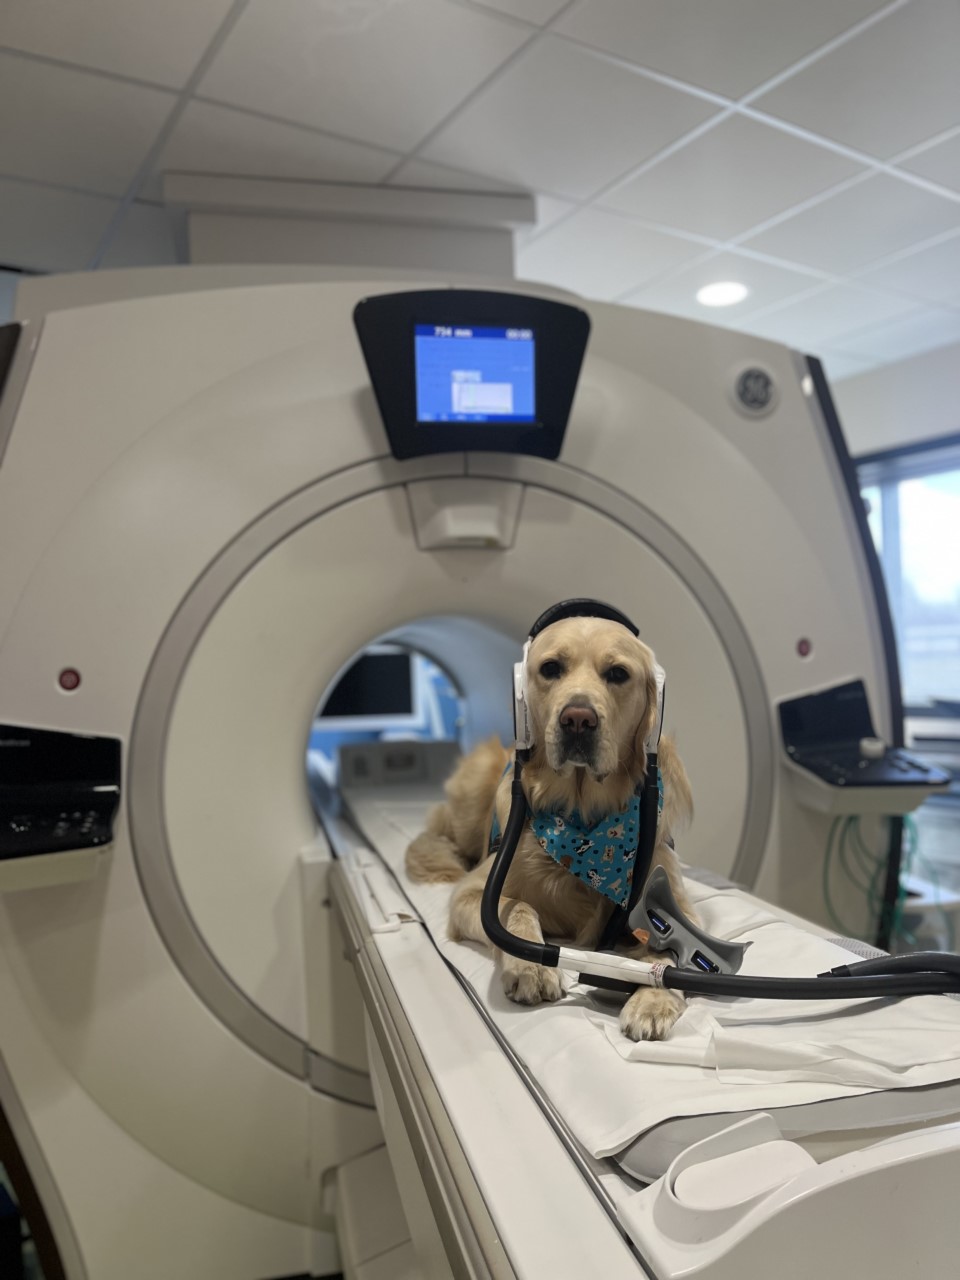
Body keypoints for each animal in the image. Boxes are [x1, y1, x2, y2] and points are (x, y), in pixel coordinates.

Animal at [407, 611, 701, 1039]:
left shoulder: (678, 902)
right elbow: (518, 907)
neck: (584, 824)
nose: (578, 719)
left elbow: (673, 948)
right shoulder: (472, 893)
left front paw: (653, 999)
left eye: (618, 673)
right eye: (550, 669)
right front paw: (531, 967)